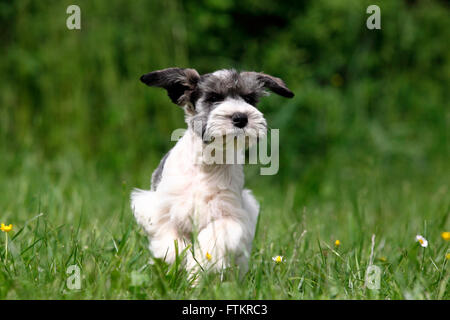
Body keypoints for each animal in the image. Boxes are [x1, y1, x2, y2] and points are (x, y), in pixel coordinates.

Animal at [130, 68, 294, 278]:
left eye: (249, 99)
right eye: (214, 97)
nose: (241, 117)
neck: (206, 165)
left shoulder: (229, 215)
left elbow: (213, 240)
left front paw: (199, 265)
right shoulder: (160, 209)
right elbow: (170, 239)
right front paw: (175, 259)